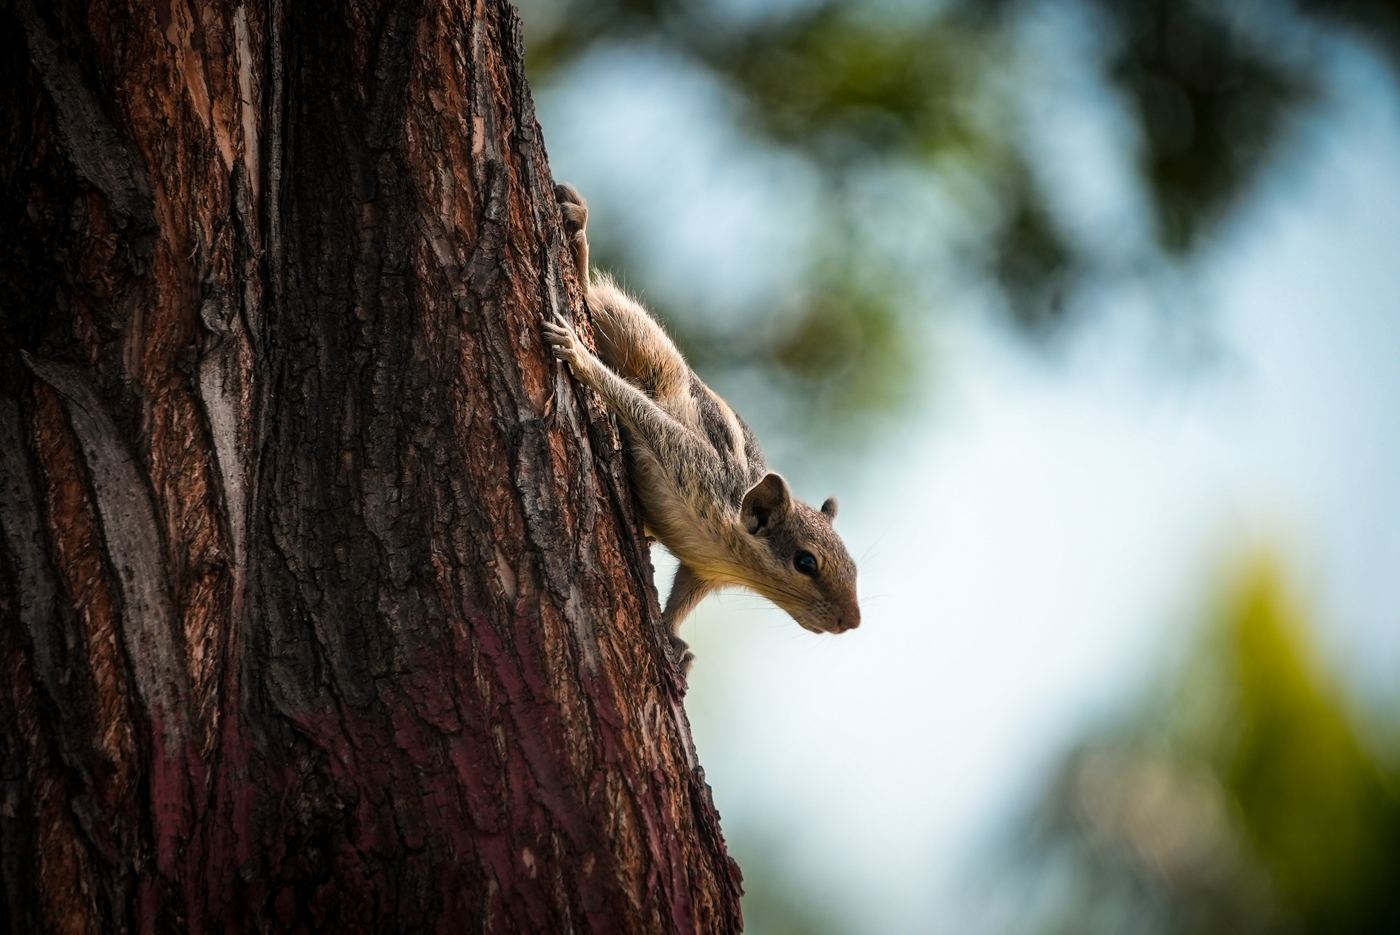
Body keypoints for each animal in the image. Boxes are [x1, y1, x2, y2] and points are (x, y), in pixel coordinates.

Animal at [544, 183, 861, 676]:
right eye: (806, 562)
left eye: (855, 567)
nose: (853, 621)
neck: (730, 551)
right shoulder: (689, 463)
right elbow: (642, 413)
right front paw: (578, 355)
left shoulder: (701, 568)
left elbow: (680, 599)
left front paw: (674, 641)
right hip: (645, 346)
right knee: (595, 298)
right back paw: (577, 243)